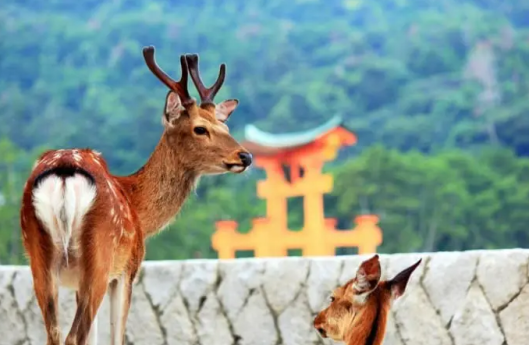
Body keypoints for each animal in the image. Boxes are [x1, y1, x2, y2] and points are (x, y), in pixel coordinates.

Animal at [20, 46, 252, 344]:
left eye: (226, 127)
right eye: (200, 128)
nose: (245, 156)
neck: (137, 204)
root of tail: (64, 172)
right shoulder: (127, 270)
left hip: (39, 258)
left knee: (56, 334)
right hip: (100, 256)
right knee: (73, 336)